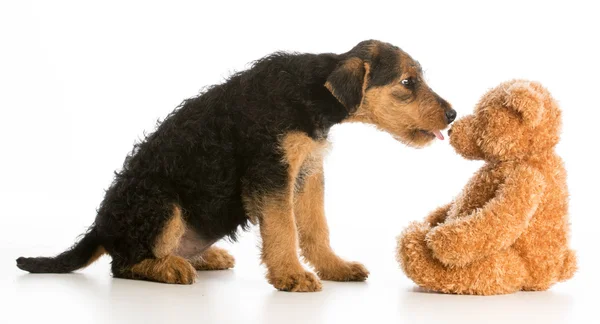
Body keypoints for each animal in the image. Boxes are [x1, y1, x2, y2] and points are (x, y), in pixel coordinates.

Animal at [16, 39, 454, 292]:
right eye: (408, 82)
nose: (451, 115)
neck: (312, 90)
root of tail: (101, 227)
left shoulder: (307, 172)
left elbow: (316, 228)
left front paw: (336, 267)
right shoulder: (270, 172)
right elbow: (283, 229)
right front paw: (291, 276)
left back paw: (203, 257)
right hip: (159, 202)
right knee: (124, 263)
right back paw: (171, 269)